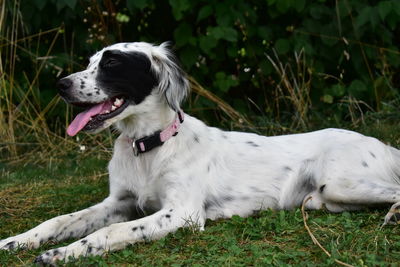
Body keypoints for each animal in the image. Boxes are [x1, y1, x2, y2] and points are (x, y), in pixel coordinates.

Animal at [0, 43, 400, 264]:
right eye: (90, 62)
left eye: (112, 64)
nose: (60, 84)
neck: (147, 146)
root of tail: (382, 143)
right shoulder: (118, 202)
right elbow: (59, 221)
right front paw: (18, 241)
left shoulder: (182, 213)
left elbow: (113, 232)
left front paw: (62, 254)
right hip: (323, 199)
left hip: (341, 182)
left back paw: (394, 215)